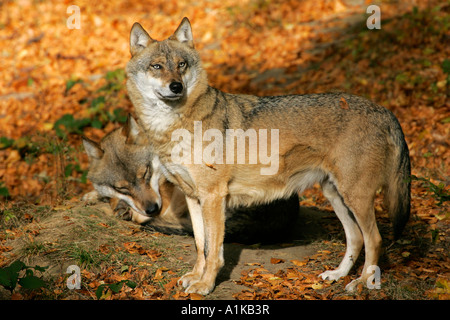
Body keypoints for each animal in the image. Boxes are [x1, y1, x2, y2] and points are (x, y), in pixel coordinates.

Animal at [125, 18, 410, 296]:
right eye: (157, 66)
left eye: (181, 65)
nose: (176, 86)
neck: (172, 126)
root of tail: (384, 111)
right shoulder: (194, 198)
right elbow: (200, 245)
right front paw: (195, 277)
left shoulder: (214, 197)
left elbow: (213, 250)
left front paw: (205, 285)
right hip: (336, 196)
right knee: (356, 238)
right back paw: (337, 275)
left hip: (355, 198)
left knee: (375, 240)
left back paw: (362, 284)